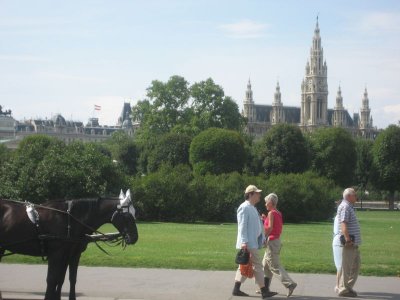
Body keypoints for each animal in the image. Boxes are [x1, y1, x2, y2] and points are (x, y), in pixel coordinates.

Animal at [0, 190, 138, 300]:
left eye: (134, 213)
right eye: (127, 215)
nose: (135, 238)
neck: (70, 219)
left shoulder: (71, 254)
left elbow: (68, 278)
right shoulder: (56, 254)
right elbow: (52, 280)